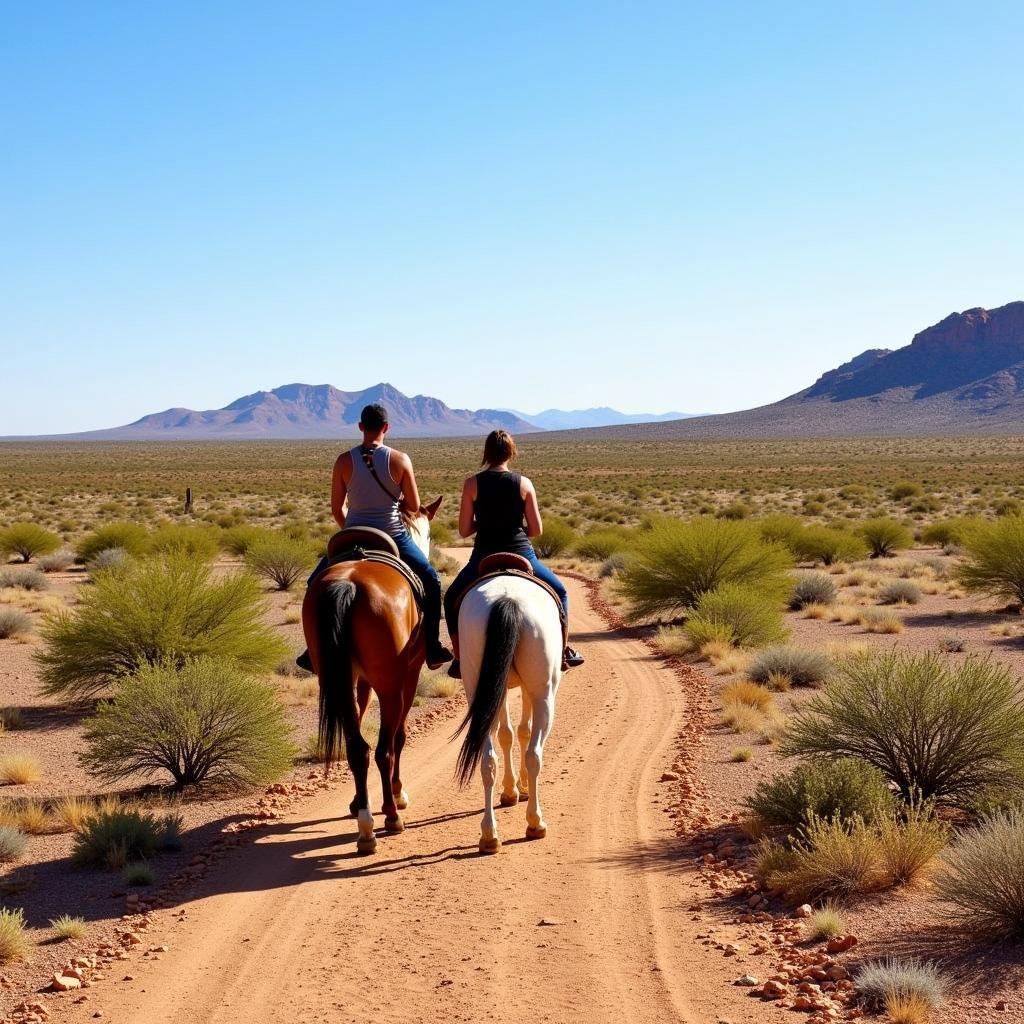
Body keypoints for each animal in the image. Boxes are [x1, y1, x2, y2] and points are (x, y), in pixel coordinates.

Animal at [299, 505, 436, 856]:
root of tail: (349, 584)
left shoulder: (359, 680)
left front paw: (355, 801)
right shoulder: (410, 674)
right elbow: (400, 736)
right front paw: (398, 793)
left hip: (337, 680)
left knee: (357, 748)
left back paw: (365, 824)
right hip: (389, 684)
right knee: (383, 748)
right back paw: (389, 816)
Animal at [454, 573, 561, 851]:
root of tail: (507, 599)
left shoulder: (498, 690)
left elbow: (508, 734)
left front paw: (511, 790)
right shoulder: (527, 689)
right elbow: (523, 732)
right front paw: (519, 789)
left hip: (481, 687)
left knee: (487, 759)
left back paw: (489, 834)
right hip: (544, 694)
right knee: (535, 754)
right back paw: (535, 823)